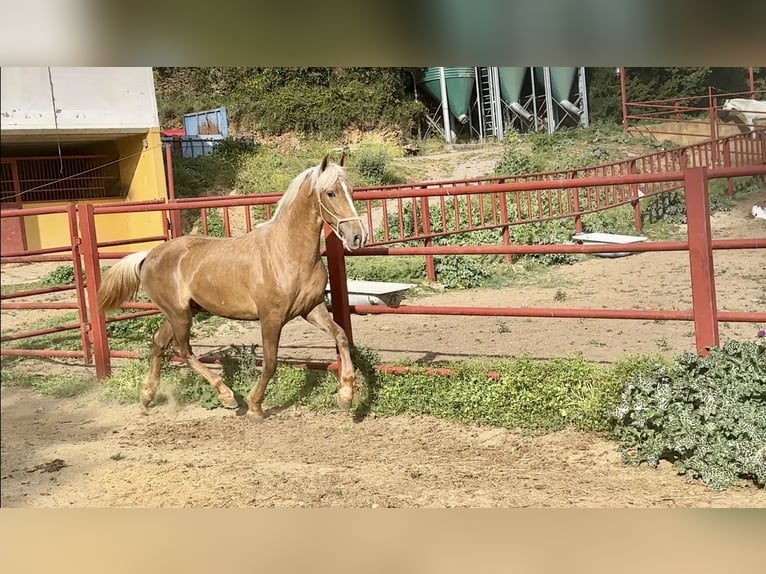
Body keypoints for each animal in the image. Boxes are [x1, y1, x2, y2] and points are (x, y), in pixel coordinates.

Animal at [97, 154, 367, 422]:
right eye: (331, 193)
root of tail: (148, 255)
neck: (287, 253)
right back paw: (227, 396)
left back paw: (147, 397)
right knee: (182, 349)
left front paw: (346, 397)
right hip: (179, 314)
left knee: (159, 343)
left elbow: (342, 337)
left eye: (352, 191)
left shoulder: (312, 309)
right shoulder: (271, 317)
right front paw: (255, 407)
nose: (357, 236)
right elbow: (271, 362)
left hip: (182, 311)